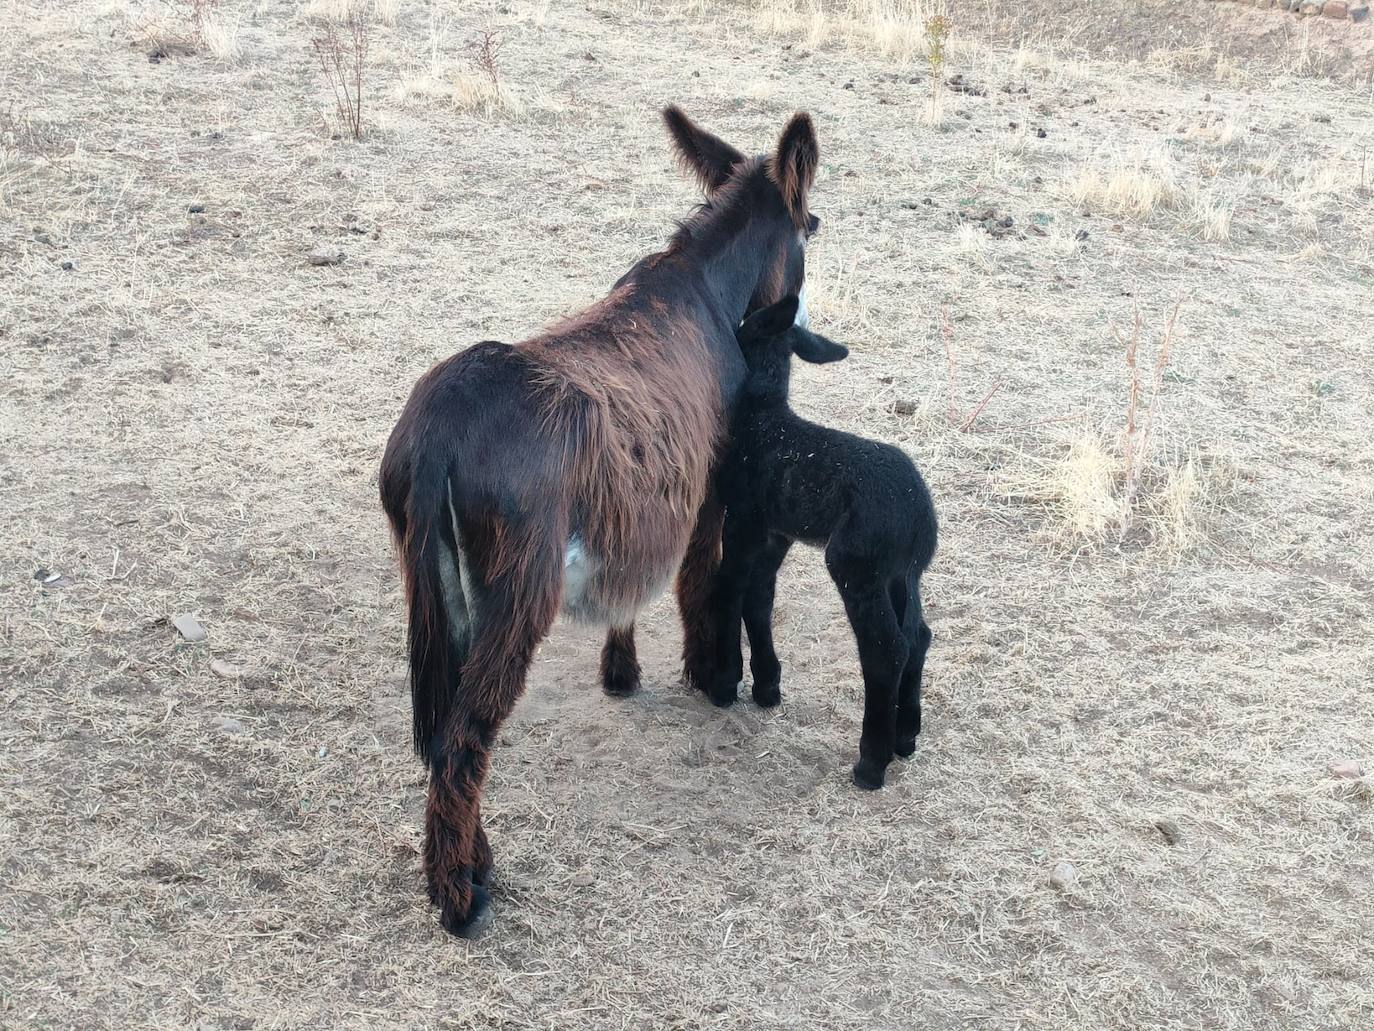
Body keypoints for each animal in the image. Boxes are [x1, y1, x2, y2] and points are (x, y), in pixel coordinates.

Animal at [714, 296, 939, 791]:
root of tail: (921, 519)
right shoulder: (777, 530)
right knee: (918, 635)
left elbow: (730, 588)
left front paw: (723, 683)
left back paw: (871, 763)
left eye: (745, 323)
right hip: (901, 573)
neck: (761, 415)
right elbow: (758, 598)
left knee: (886, 649)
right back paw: (905, 737)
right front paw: (766, 685)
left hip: (856, 563)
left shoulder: (743, 518)